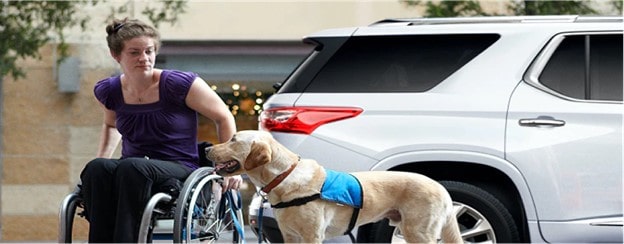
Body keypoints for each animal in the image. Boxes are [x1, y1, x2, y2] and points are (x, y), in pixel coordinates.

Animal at [207, 131, 460, 243]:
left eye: (233, 139)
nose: (207, 148)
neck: (284, 176)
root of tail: (441, 188)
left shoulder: (312, 235)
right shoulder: (290, 236)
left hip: (418, 232)